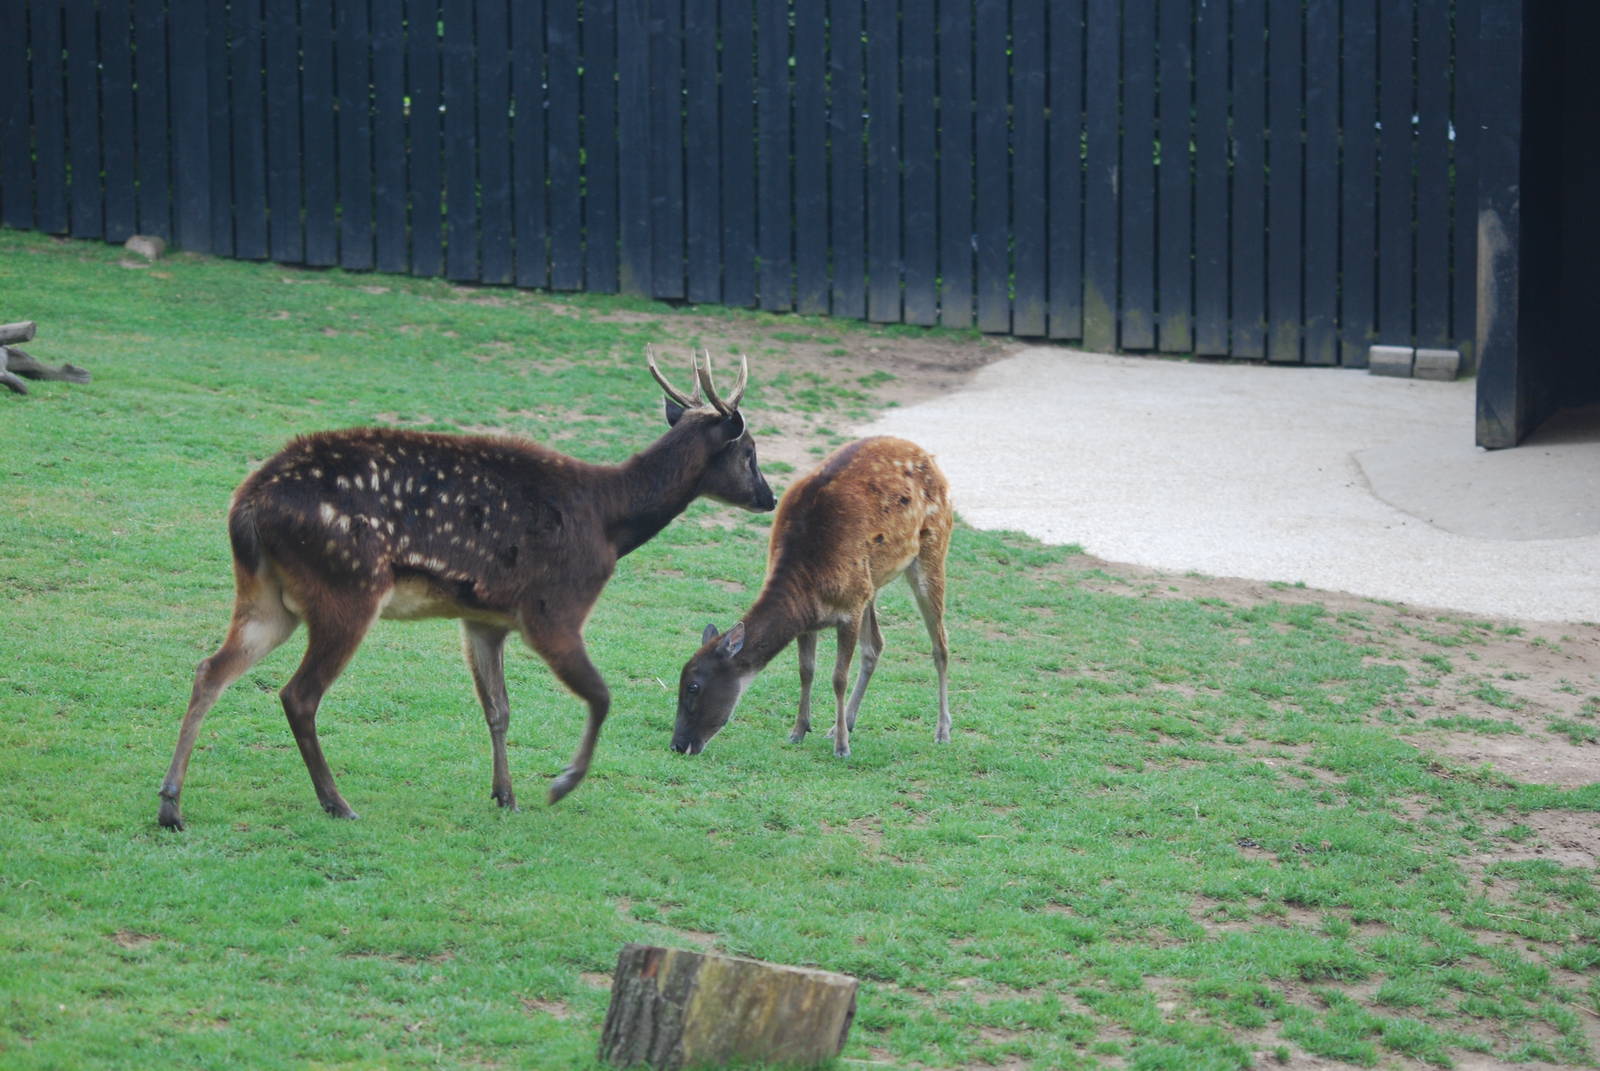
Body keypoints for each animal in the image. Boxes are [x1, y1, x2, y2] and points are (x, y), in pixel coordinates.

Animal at [157, 349, 776, 830]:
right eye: (749, 452)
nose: (769, 497)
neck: (608, 522)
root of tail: (246, 506)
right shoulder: (553, 608)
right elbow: (601, 695)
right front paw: (560, 784)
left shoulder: (484, 617)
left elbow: (499, 709)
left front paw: (505, 795)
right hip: (347, 588)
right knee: (297, 694)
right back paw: (337, 803)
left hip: (266, 596)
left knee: (209, 670)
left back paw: (171, 806)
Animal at [670, 436, 953, 759]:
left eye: (693, 686)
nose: (678, 744)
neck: (811, 581)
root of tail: (928, 456)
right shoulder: (812, 619)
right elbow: (806, 670)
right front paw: (799, 730)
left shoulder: (850, 607)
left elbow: (838, 678)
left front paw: (842, 748)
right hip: (872, 581)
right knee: (876, 645)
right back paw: (846, 723)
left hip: (932, 549)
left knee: (940, 644)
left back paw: (942, 731)